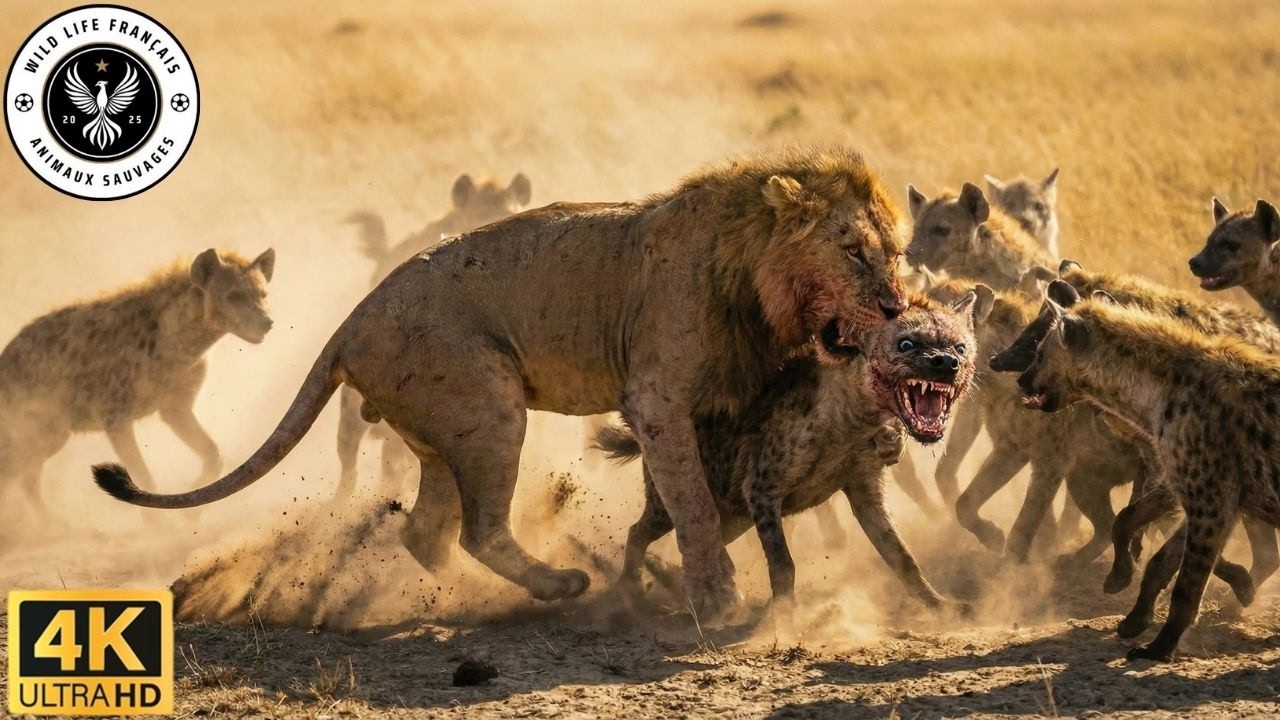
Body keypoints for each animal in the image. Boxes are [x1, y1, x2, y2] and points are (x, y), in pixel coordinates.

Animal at [93, 147, 908, 616]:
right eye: (853, 252)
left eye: (896, 253)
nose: (898, 306)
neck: (756, 279)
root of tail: (351, 320)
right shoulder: (656, 398)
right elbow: (694, 504)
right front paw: (716, 596)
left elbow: (703, 493)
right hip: (489, 407)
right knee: (479, 528)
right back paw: (559, 587)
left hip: (442, 432)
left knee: (426, 532)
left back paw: (476, 593)